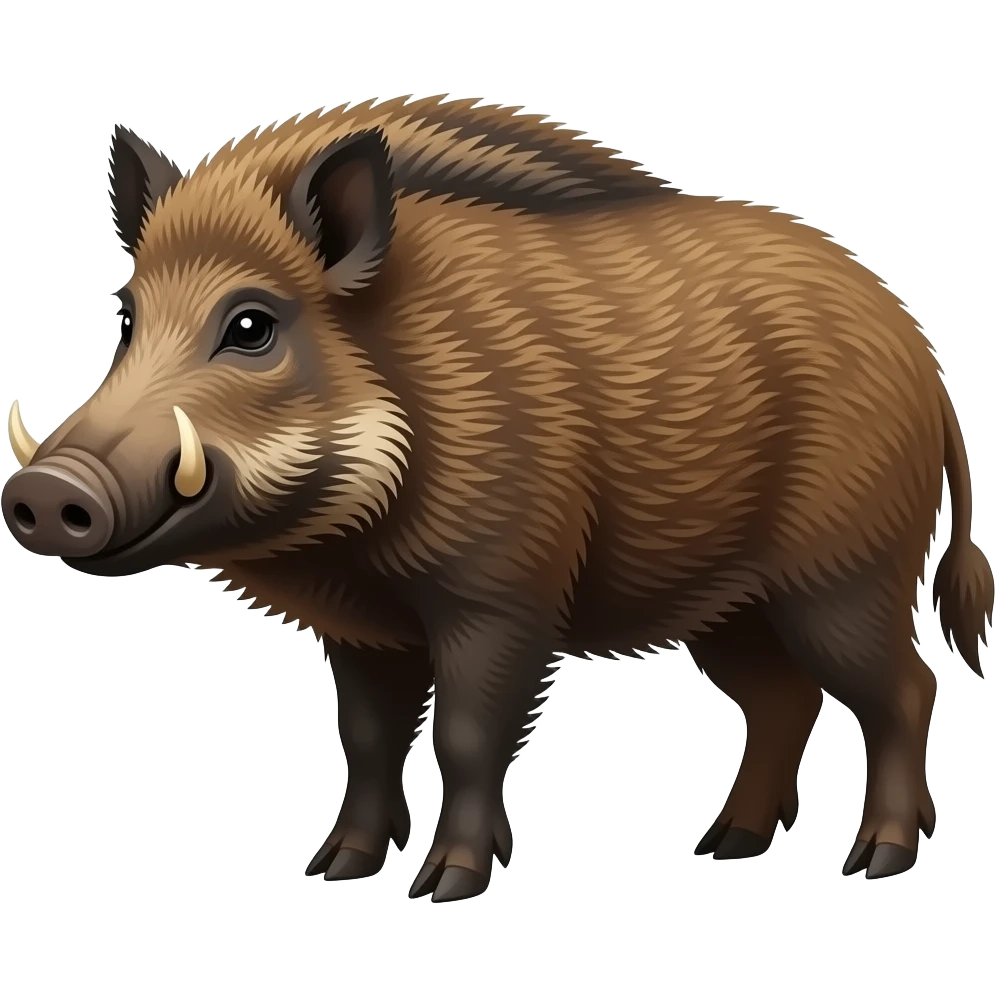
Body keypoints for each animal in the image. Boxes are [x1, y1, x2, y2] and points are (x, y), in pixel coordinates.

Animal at [2, 97, 992, 902]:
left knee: (905, 689)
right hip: (729, 606)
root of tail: (922, 355)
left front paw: (446, 887)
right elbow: (367, 739)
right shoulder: (363, 630)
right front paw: (336, 870)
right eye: (127, 316)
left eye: (251, 325)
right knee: (785, 700)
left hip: (846, 573)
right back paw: (725, 846)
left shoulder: (502, 596)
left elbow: (468, 736)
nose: (46, 491)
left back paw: (876, 861)